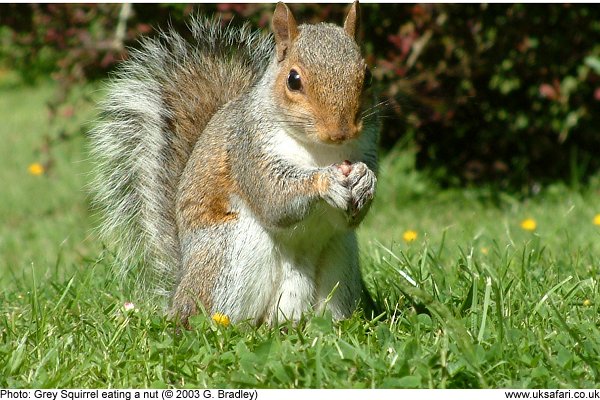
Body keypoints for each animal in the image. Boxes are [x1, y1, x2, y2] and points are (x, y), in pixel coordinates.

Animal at [89, 2, 380, 324]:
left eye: (368, 76)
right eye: (293, 80)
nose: (340, 132)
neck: (321, 151)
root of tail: (179, 291)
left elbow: (350, 217)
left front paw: (365, 180)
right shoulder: (248, 150)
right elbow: (273, 199)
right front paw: (325, 180)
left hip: (341, 261)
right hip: (231, 255)